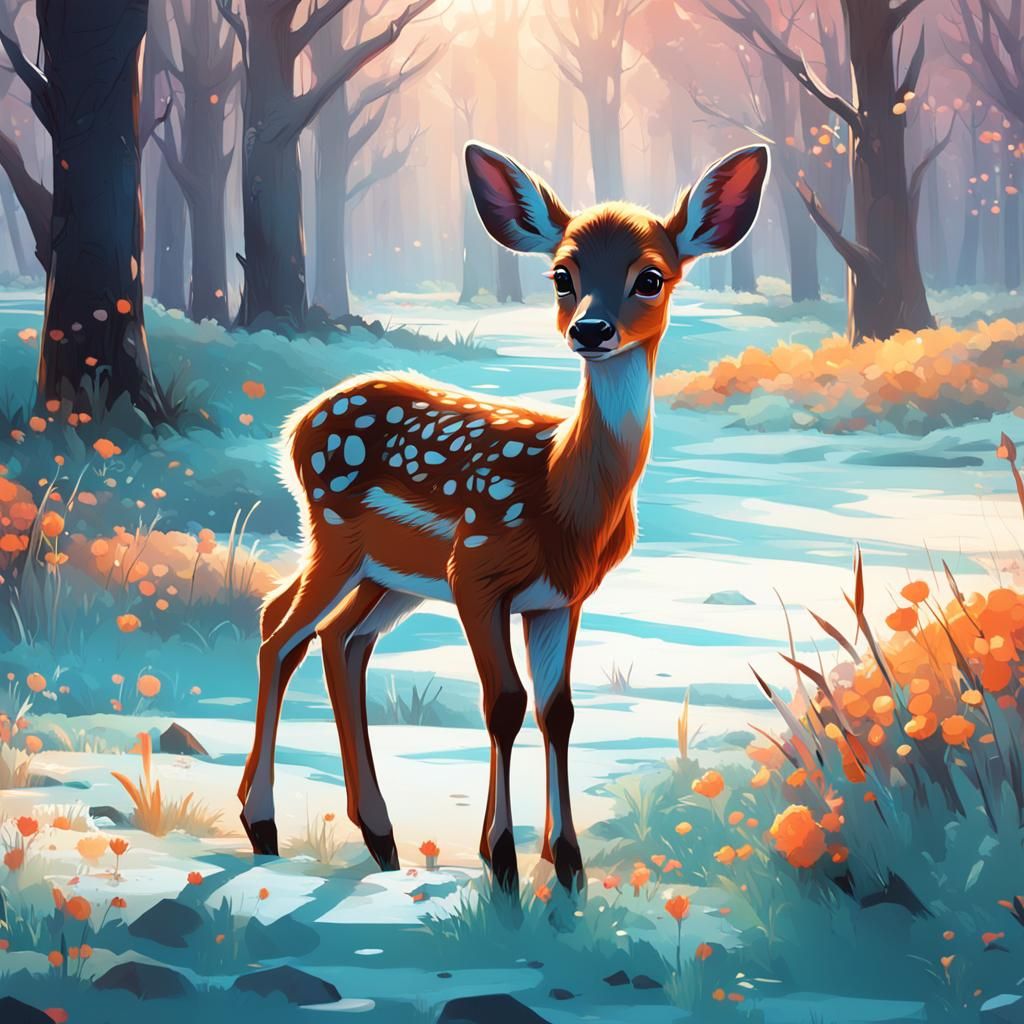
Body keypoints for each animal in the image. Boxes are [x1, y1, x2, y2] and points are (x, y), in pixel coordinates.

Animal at [238, 140, 769, 897]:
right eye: (561, 274)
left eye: (651, 277)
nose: (590, 329)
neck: (561, 495)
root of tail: (296, 424)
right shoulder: (476, 573)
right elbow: (505, 704)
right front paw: (503, 861)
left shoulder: (559, 599)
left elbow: (558, 711)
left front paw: (567, 864)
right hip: (334, 533)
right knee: (280, 627)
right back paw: (262, 825)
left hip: (389, 572)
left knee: (341, 639)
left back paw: (380, 837)